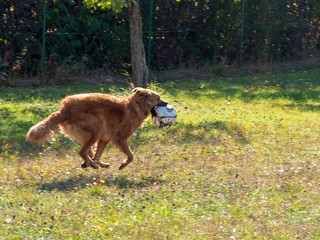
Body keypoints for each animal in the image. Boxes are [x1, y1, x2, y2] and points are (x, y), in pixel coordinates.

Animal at [26, 87, 168, 169]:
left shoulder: (105, 139)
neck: (136, 106)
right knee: (82, 152)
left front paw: (95, 162)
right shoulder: (120, 139)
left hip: (92, 134)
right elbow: (131, 156)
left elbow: (98, 153)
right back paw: (93, 165)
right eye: (158, 98)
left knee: (89, 152)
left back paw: (92, 163)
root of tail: (64, 110)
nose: (167, 103)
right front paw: (122, 165)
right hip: (96, 130)